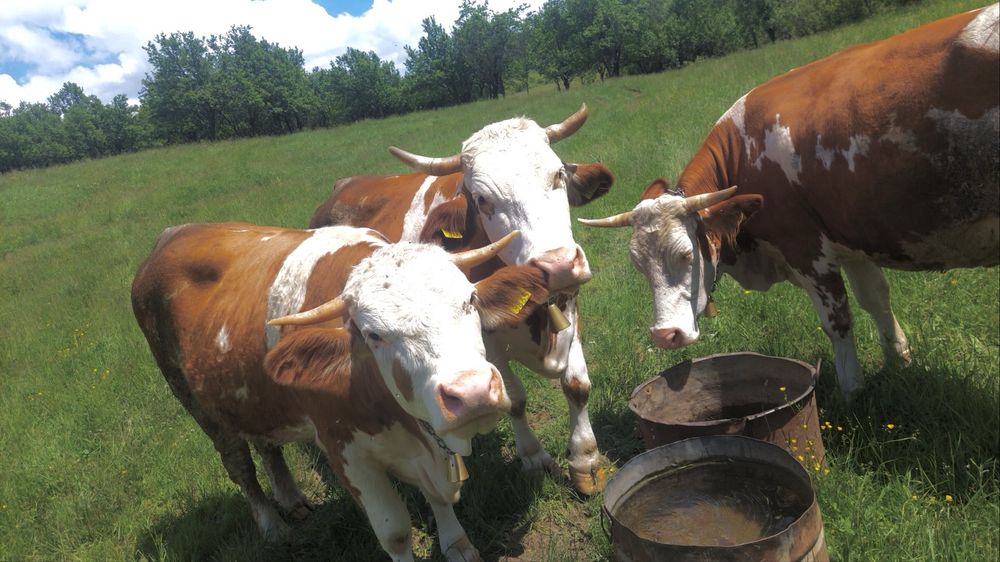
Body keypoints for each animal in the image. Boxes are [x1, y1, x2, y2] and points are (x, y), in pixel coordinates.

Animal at [131, 223, 549, 561]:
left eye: (470, 301)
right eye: (374, 334)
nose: (472, 390)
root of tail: (172, 233)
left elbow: (440, 498)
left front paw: (457, 543)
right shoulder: (346, 454)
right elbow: (395, 533)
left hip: (252, 399)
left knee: (268, 446)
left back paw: (291, 500)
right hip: (197, 404)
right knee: (241, 467)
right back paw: (272, 526)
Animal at [309, 104, 615, 494]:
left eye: (558, 175)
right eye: (483, 199)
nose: (558, 265)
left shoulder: (572, 304)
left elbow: (577, 386)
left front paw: (585, 460)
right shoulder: (482, 340)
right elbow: (515, 399)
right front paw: (533, 456)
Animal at [581, 5, 999, 397]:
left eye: (685, 255)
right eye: (638, 265)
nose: (665, 335)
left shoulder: (806, 249)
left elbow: (838, 321)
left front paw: (852, 391)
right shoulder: (849, 239)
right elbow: (876, 299)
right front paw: (898, 362)